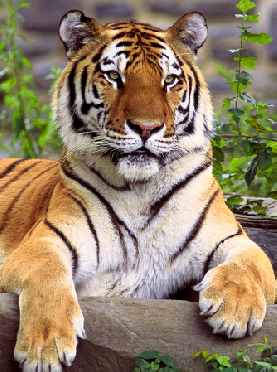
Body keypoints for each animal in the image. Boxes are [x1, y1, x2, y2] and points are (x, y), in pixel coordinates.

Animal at [0, 8, 274, 372]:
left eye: (169, 80)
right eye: (114, 76)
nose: (146, 128)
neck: (139, 189)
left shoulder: (232, 238)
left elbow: (250, 263)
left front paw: (234, 311)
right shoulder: (44, 242)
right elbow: (47, 274)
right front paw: (45, 348)